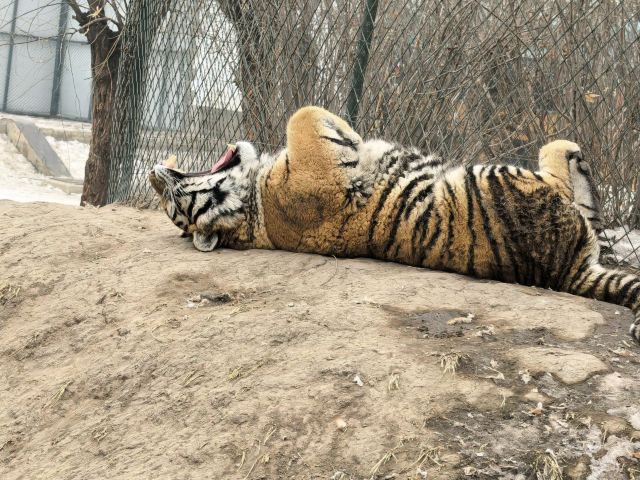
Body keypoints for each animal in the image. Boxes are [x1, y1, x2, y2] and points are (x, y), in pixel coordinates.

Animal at [149, 106, 640, 343]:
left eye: (169, 200)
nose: (155, 174)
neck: (252, 206)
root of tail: (569, 273)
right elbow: (302, 115)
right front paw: (349, 135)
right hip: (502, 181)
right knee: (560, 174)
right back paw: (570, 149)